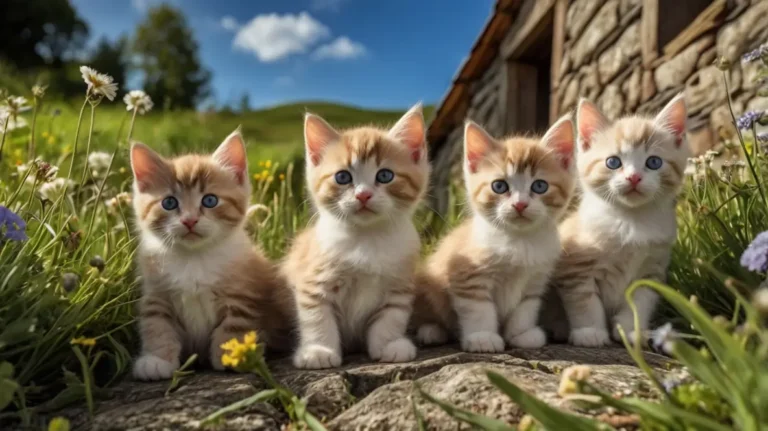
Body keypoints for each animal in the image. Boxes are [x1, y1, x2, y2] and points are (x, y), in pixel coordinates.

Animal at [130, 132, 292, 382]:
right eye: (169, 203)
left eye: (209, 200)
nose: (189, 220)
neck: (194, 258)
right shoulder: (157, 294)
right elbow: (157, 325)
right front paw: (157, 359)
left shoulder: (242, 294)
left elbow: (234, 326)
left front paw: (235, 356)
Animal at [284, 103, 432, 370]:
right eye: (343, 177)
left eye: (385, 175)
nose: (363, 195)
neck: (367, 238)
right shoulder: (314, 282)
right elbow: (317, 317)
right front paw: (319, 351)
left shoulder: (399, 285)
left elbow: (390, 318)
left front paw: (389, 345)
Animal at [414, 116, 576, 352]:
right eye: (499, 186)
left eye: (539, 186)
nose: (520, 204)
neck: (519, 241)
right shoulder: (468, 276)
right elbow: (479, 309)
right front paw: (483, 338)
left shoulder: (535, 281)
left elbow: (525, 309)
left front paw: (521, 334)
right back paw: (431, 331)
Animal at [552, 93, 688, 348]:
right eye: (613, 162)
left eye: (653, 162)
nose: (633, 177)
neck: (631, 221)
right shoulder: (576, 269)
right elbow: (585, 302)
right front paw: (590, 332)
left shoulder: (651, 271)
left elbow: (640, 303)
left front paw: (631, 331)